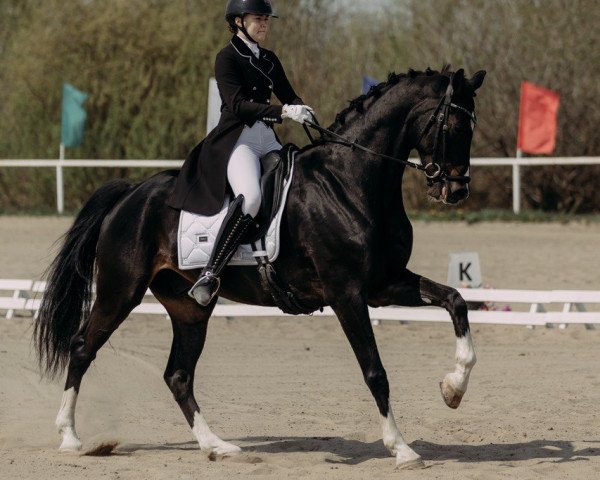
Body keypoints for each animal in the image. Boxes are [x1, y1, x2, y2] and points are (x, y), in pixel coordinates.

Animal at [34, 67, 488, 468]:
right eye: (454, 126)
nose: (456, 190)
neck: (352, 181)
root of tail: (131, 193)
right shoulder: (346, 294)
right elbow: (375, 371)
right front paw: (402, 448)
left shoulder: (384, 285)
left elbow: (456, 300)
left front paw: (453, 389)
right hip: (120, 290)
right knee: (83, 347)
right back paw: (71, 438)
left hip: (189, 307)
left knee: (178, 375)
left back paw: (218, 447)